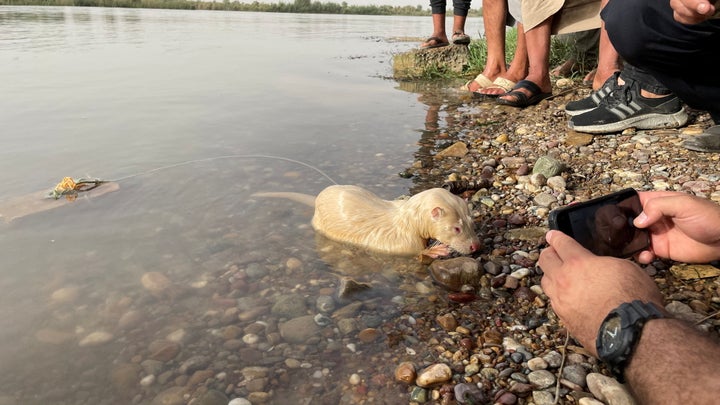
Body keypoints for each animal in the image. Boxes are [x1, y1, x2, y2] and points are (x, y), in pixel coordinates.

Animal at [250, 185, 480, 258]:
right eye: (456, 228)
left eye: (472, 222)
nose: (476, 246)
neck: (407, 219)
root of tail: (316, 199)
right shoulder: (403, 240)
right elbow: (412, 251)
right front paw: (436, 250)